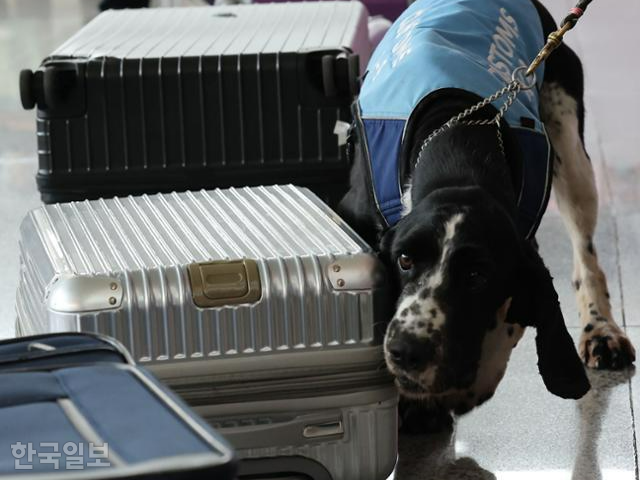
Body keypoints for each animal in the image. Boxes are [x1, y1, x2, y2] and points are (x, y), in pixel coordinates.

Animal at [340, 0, 636, 428]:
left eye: (477, 276)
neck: (457, 149)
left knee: (586, 256)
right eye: (404, 260)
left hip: (572, 153)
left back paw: (601, 330)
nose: (406, 350)